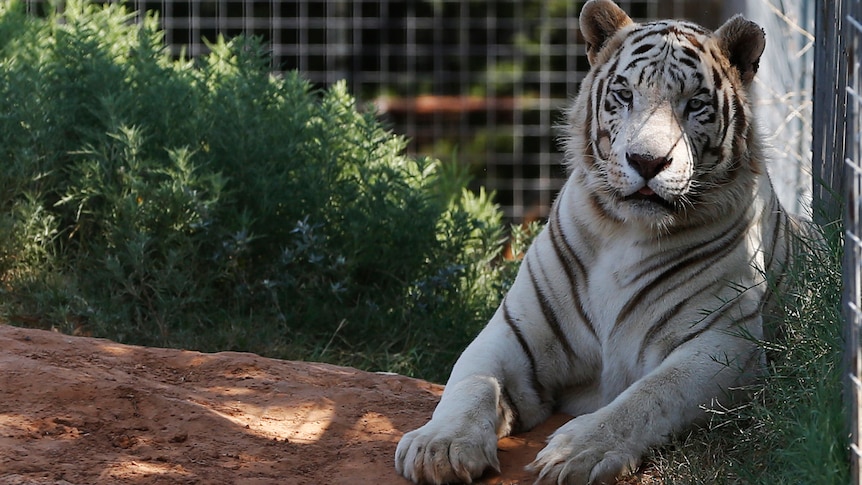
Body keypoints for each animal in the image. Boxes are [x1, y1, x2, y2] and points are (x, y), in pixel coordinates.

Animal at [394, 0, 800, 482]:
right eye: (624, 95)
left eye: (695, 104)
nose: (647, 161)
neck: (626, 233)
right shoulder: (512, 333)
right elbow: (470, 384)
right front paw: (438, 447)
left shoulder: (725, 342)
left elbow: (650, 396)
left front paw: (577, 452)